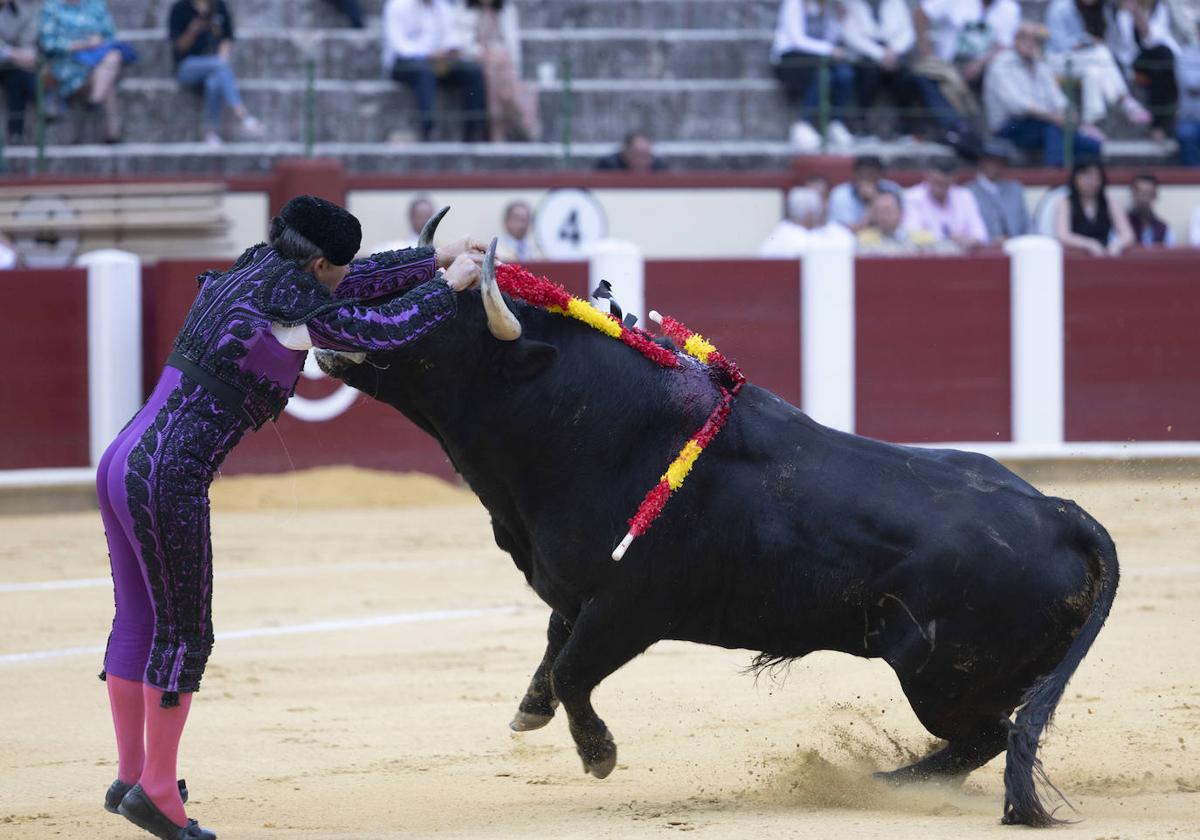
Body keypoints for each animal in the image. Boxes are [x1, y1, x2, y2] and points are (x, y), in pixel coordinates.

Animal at [314, 264, 1118, 825]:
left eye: (434, 320)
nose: (329, 316)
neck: (591, 423)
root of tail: (1061, 512)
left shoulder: (629, 609)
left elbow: (574, 669)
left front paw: (600, 756)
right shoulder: (577, 595)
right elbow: (553, 649)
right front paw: (529, 710)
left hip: (942, 679)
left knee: (986, 738)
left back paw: (877, 783)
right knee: (988, 739)